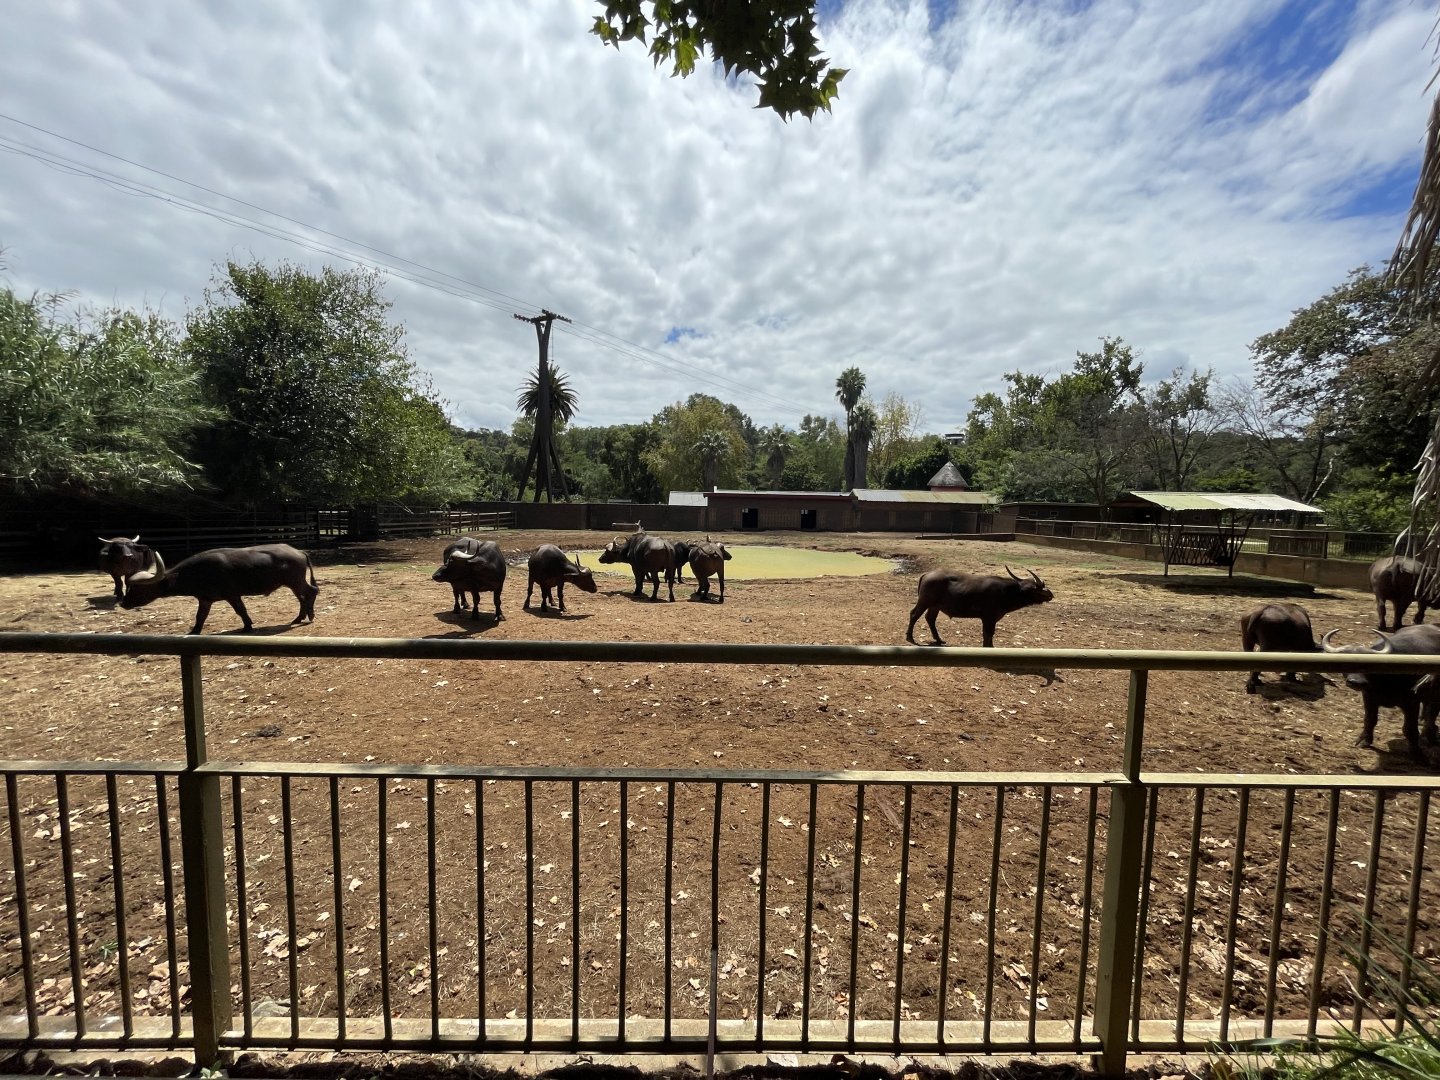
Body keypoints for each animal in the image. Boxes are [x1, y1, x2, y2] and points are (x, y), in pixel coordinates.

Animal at [119, 543, 318, 635]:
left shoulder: (232, 595)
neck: (196, 572)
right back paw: (299, 617)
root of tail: (299, 552)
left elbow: (241, 610)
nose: (123, 603)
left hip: (295, 581)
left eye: (136, 589)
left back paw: (309, 616)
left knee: (311, 592)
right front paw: (194, 631)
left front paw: (247, 626)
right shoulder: (205, 599)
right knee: (302, 597)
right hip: (292, 583)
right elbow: (200, 616)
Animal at [906, 566, 1053, 648]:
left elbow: (987, 633)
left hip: (935, 606)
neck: (1005, 592)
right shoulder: (989, 618)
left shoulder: (988, 619)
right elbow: (989, 633)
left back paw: (939, 639)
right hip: (925, 601)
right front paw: (989, 647)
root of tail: (927, 574)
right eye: (1037, 589)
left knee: (930, 618)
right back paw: (910, 638)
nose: (1051, 594)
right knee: (914, 614)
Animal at [1321, 625, 1440, 760]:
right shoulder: (1369, 697)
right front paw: (1364, 740)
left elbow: (1410, 729)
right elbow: (1370, 719)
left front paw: (1417, 754)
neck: (1383, 681)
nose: (1356, 682)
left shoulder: (1411, 703)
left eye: (1369, 664)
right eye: (1345, 663)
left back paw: (1429, 736)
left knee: (1432, 714)